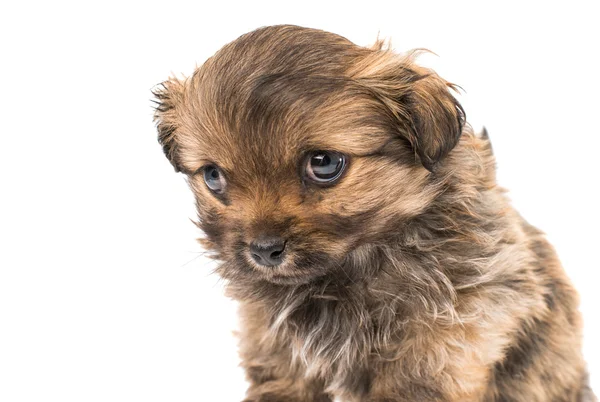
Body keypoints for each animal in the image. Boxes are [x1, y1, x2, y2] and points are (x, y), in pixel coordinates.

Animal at [151, 24, 596, 402]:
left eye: (324, 163)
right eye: (213, 177)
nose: (263, 250)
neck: (350, 269)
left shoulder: (448, 334)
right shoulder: (275, 345)